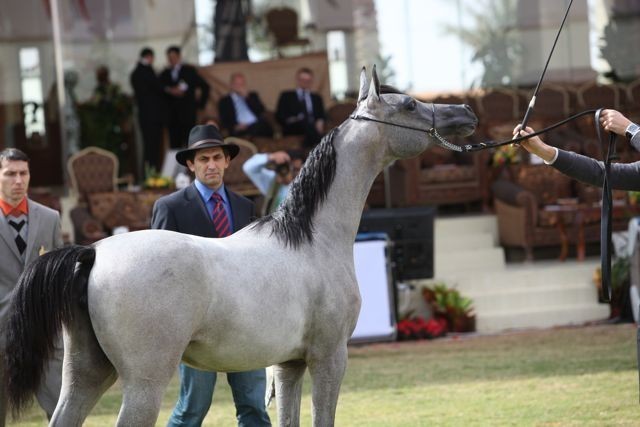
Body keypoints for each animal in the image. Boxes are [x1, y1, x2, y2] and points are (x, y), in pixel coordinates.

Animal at [4, 66, 477, 426]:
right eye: (410, 105)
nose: (466, 112)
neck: (313, 240)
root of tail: (94, 253)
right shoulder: (330, 358)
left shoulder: (288, 367)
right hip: (144, 384)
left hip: (85, 374)